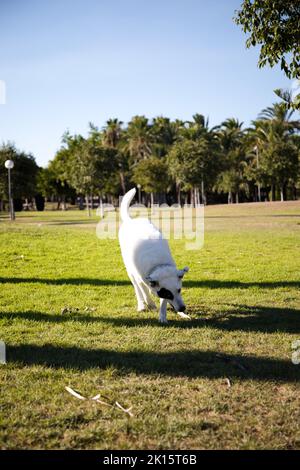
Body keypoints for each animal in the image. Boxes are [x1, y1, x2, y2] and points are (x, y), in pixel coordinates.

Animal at [118, 188, 189, 324]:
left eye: (179, 290)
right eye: (168, 294)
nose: (183, 308)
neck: (158, 264)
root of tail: (131, 221)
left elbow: (163, 302)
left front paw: (163, 315)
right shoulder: (141, 277)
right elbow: (144, 290)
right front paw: (150, 304)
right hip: (130, 270)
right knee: (137, 288)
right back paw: (142, 304)